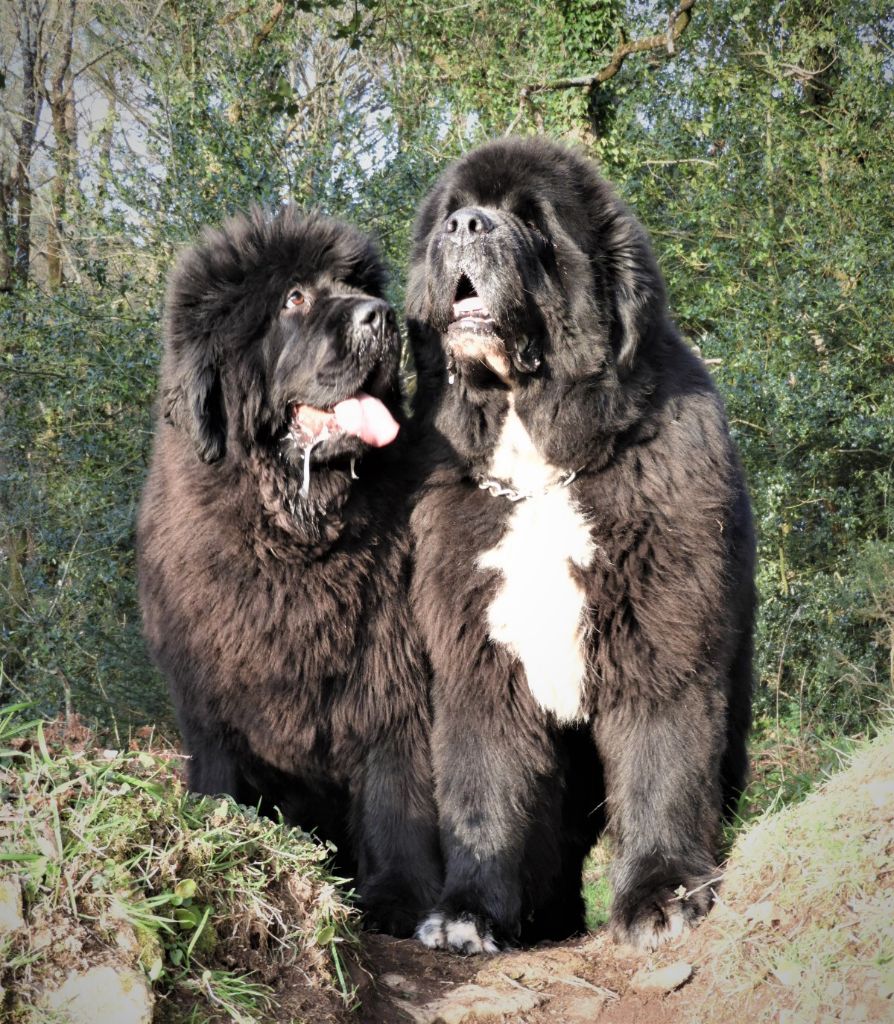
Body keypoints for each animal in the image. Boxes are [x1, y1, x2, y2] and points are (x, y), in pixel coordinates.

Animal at [138, 207, 440, 937]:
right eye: (294, 299)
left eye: (354, 286)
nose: (380, 317)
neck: (295, 544)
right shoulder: (209, 699)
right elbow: (220, 778)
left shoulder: (393, 675)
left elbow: (398, 792)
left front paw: (397, 899)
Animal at [407, 136, 757, 950]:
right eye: (451, 212)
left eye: (535, 222)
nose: (467, 226)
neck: (540, 473)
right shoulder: (479, 662)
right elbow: (483, 787)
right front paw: (467, 913)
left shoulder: (663, 639)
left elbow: (664, 764)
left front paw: (662, 893)